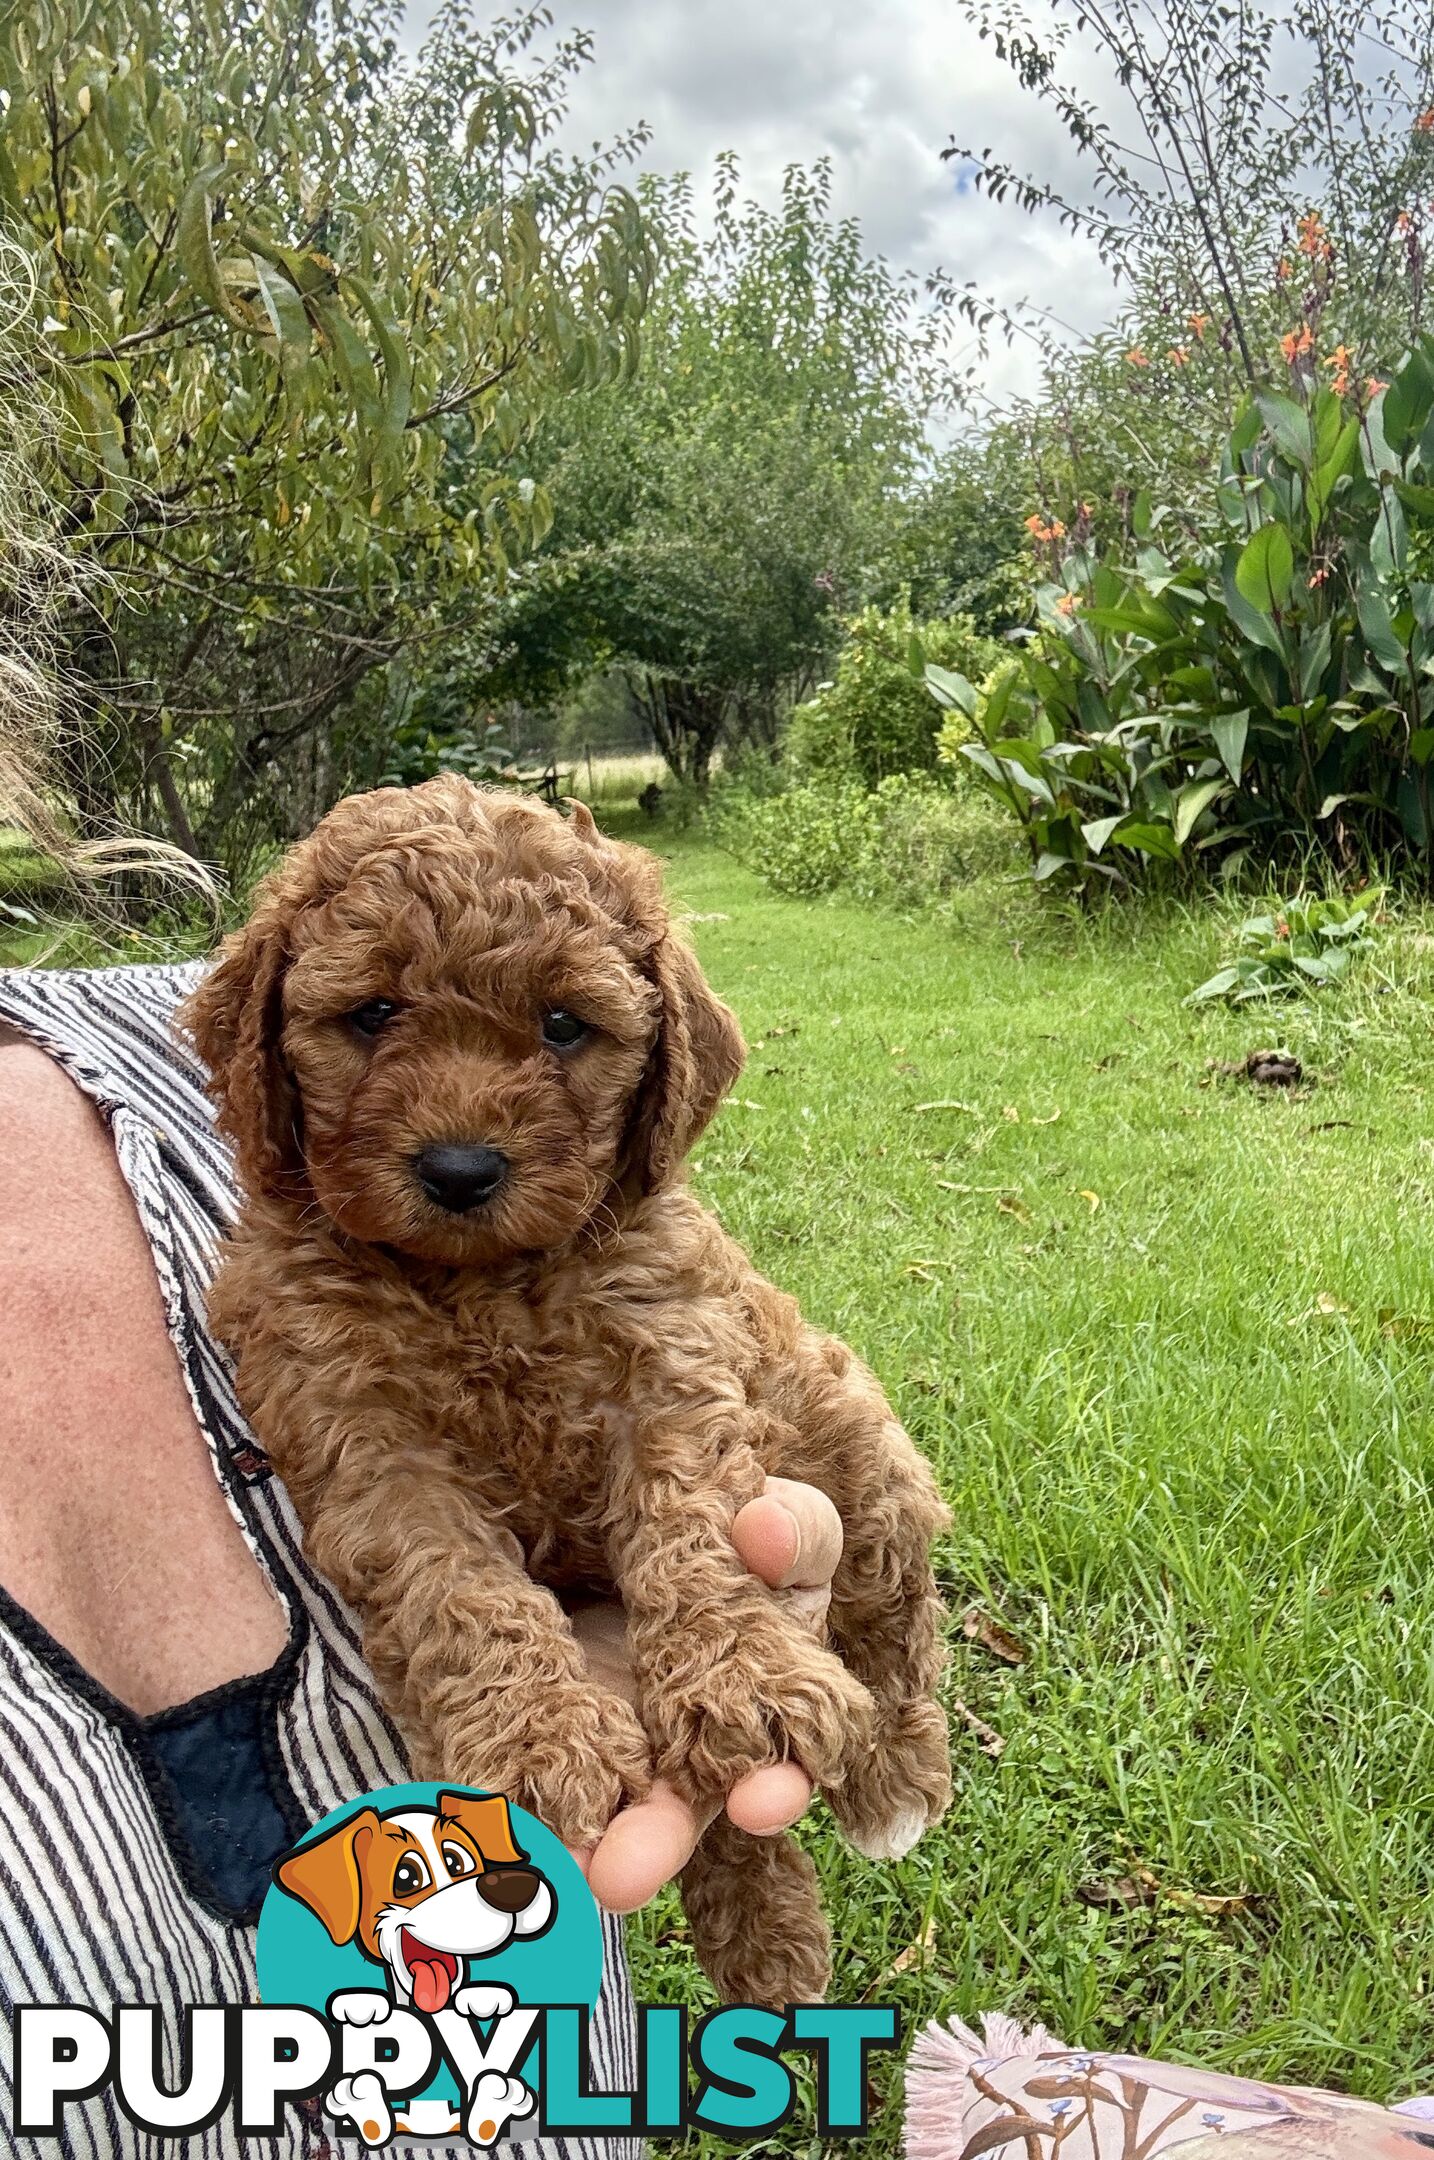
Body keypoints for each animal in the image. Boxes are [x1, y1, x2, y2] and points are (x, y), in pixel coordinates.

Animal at [190, 777, 950, 2004]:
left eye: (561, 1027)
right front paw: (529, 1740)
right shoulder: (364, 1436)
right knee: (733, 1815)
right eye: (373, 1014)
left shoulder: (672, 1364)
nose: (459, 1169)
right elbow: (456, 1590)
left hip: (854, 1437)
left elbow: (693, 1527)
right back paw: (770, 1941)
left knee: (894, 1610)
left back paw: (895, 1779)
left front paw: (738, 1674)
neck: (479, 1281)